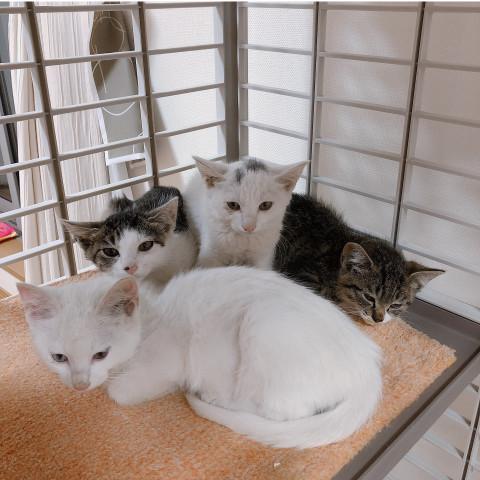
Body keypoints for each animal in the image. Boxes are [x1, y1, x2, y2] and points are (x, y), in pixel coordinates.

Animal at [18, 267, 382, 449]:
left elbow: (118, 392)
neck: (151, 315)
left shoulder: (168, 362)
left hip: (265, 324)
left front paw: (113, 385)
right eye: (58, 357)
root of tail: (368, 366)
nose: (79, 385)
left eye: (100, 354)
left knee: (283, 411)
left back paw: (215, 397)